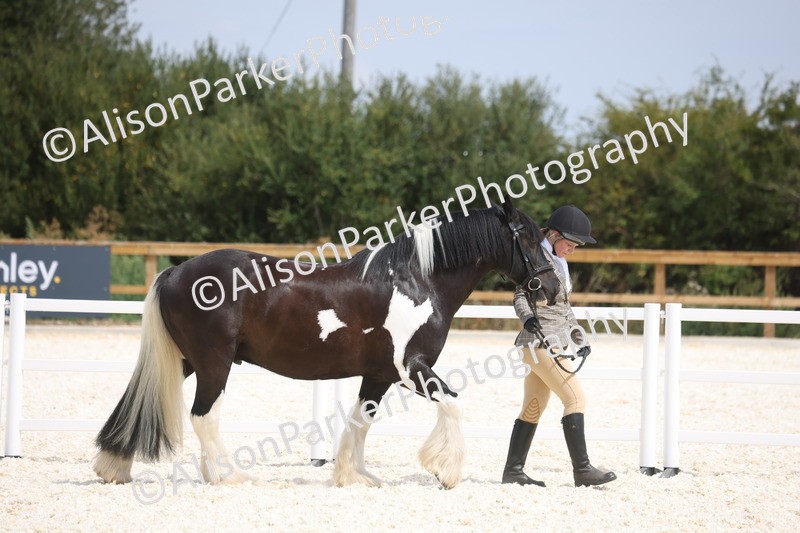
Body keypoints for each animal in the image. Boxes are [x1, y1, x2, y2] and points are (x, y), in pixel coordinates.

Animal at [92, 198, 559, 489]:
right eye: (529, 238)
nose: (553, 287)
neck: (417, 281)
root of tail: (176, 271)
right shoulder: (411, 369)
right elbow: (454, 404)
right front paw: (445, 472)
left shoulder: (379, 375)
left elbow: (361, 421)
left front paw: (354, 476)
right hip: (214, 363)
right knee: (204, 416)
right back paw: (228, 476)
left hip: (186, 360)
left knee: (137, 400)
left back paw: (115, 466)